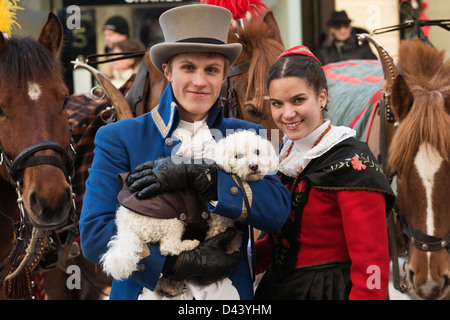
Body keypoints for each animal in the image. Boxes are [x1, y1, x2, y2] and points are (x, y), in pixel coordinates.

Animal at [101, 130, 278, 296]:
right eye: (238, 156)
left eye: (257, 151)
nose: (254, 166)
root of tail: (125, 227)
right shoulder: (217, 222)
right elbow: (219, 235)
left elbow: (235, 235)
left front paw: (233, 245)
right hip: (171, 222)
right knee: (168, 248)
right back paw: (190, 244)